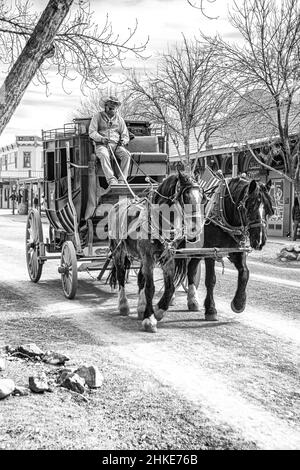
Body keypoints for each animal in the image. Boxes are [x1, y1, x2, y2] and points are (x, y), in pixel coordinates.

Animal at [108, 171, 204, 332]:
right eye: (185, 196)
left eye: (201, 196)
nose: (196, 228)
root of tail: (117, 204)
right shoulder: (148, 257)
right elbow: (150, 288)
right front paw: (149, 319)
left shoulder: (168, 258)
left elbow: (170, 287)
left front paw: (158, 310)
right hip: (119, 251)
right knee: (121, 275)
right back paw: (123, 305)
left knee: (140, 278)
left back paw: (141, 307)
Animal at [183, 174, 274, 322]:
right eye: (250, 206)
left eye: (269, 209)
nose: (260, 240)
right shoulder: (210, 251)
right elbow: (211, 280)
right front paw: (211, 309)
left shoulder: (237, 251)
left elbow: (245, 273)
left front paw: (239, 302)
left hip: (197, 250)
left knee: (191, 269)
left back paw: (192, 301)